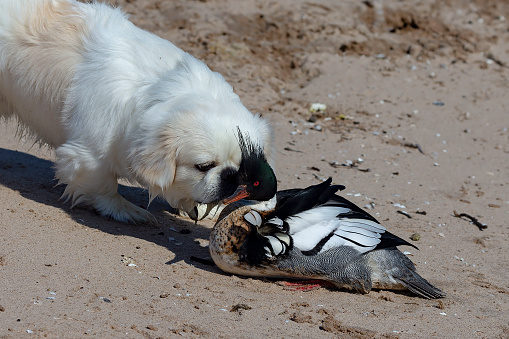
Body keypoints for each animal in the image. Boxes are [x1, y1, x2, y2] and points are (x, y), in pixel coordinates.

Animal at [0, 0, 274, 224]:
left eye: (245, 169)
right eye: (204, 166)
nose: (230, 176)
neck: (150, 91)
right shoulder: (88, 155)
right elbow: (102, 184)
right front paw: (124, 210)